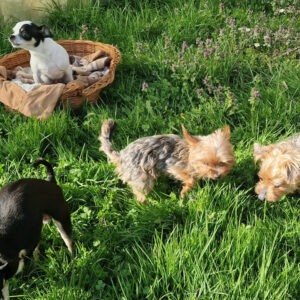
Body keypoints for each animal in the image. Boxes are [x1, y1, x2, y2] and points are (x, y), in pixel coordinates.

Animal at [99, 119, 236, 204]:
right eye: (206, 163)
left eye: (223, 163)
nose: (217, 176)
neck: (189, 155)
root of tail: (121, 156)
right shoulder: (173, 167)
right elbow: (190, 180)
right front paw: (184, 192)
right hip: (142, 178)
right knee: (139, 193)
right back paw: (146, 205)